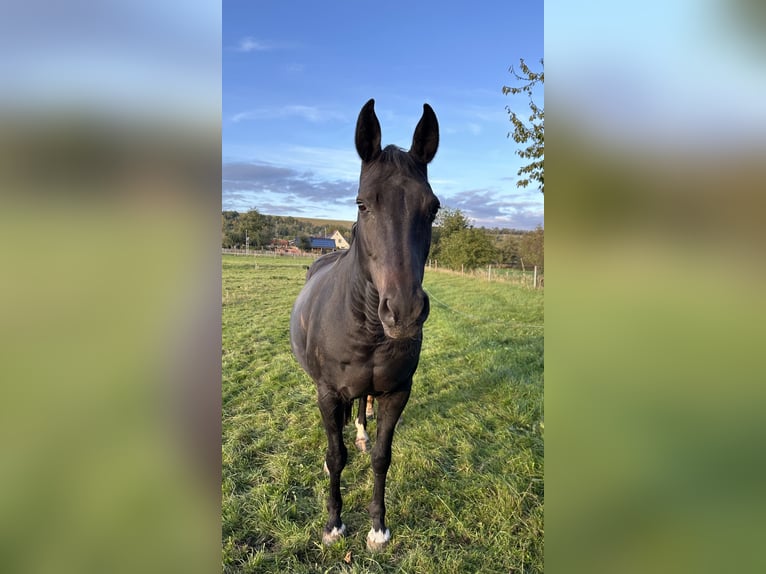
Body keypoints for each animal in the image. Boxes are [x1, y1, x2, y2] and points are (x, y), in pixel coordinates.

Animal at [292, 99, 440, 552]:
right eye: (362, 204)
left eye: (433, 208)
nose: (404, 312)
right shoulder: (327, 393)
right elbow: (335, 455)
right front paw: (333, 524)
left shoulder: (396, 393)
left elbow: (381, 457)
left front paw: (378, 527)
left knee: (360, 408)